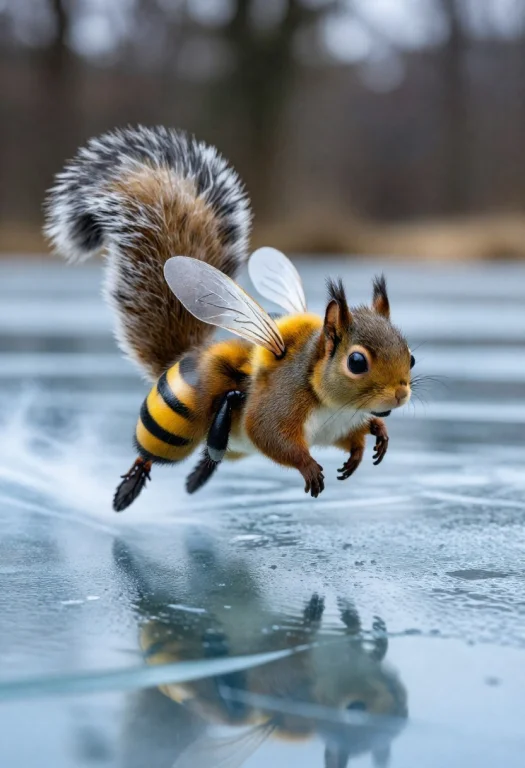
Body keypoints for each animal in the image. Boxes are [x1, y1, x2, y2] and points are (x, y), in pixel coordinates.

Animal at [44, 125, 414, 512]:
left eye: (412, 357)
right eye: (357, 362)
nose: (401, 394)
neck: (333, 403)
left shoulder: (339, 426)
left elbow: (352, 438)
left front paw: (370, 441)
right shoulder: (276, 407)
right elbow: (268, 435)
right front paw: (309, 467)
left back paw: (199, 474)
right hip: (175, 422)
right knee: (156, 451)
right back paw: (134, 486)